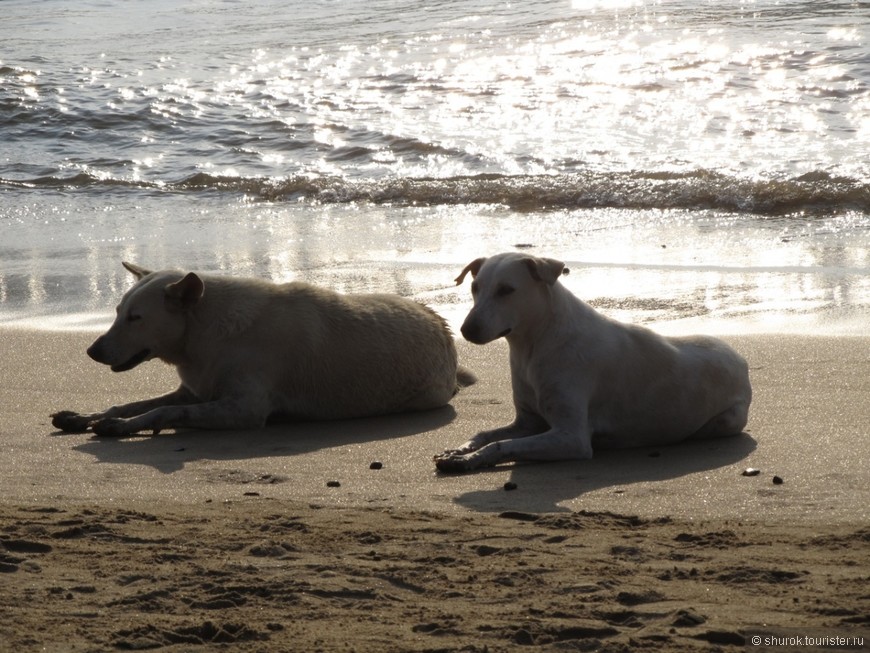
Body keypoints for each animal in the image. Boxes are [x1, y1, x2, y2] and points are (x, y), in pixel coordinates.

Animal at [52, 262, 476, 438]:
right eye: (117, 312)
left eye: (135, 318)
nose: (91, 351)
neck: (206, 332)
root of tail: (442, 326)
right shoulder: (193, 389)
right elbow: (129, 403)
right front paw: (86, 417)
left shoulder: (243, 408)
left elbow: (165, 411)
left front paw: (124, 426)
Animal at [440, 252, 752, 472]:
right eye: (475, 287)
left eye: (506, 290)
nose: (467, 330)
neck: (534, 345)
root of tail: (741, 359)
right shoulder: (527, 422)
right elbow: (486, 433)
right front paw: (460, 450)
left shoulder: (570, 437)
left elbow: (501, 444)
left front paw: (470, 459)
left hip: (726, 419)